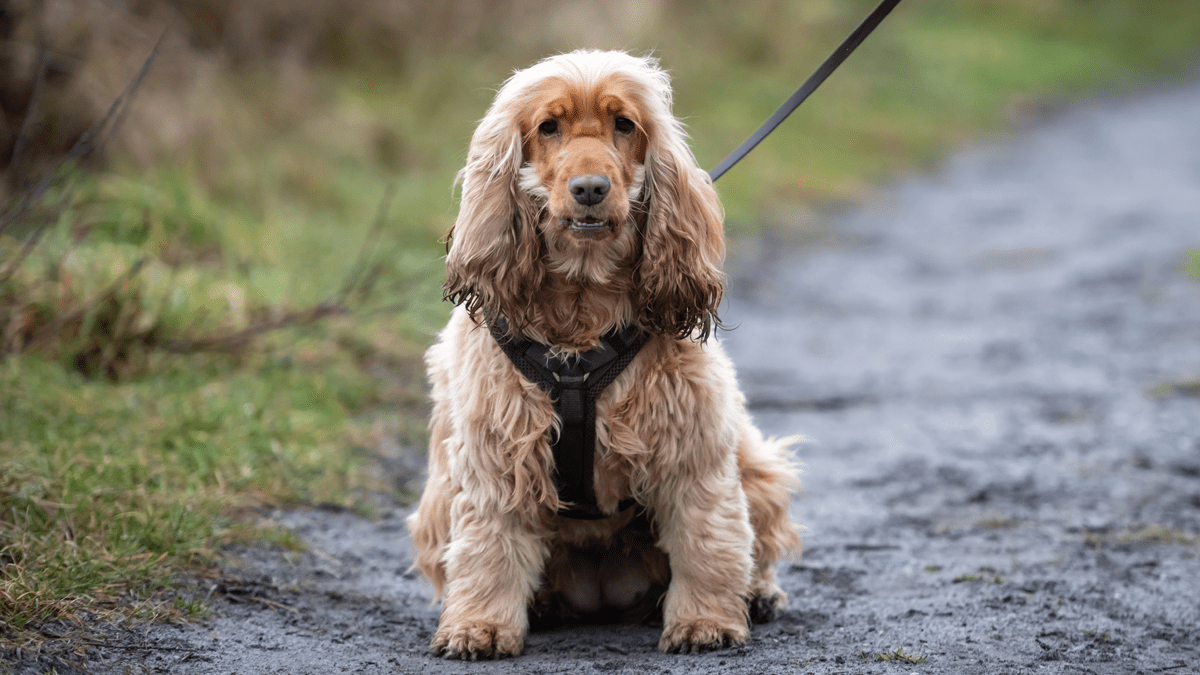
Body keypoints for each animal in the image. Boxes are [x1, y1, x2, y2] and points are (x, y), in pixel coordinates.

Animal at [408, 48, 801, 658]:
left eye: (624, 124)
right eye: (549, 127)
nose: (590, 188)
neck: (581, 301)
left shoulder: (693, 447)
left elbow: (707, 540)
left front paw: (704, 621)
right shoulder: (498, 453)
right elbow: (488, 550)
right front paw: (479, 627)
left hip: (758, 466)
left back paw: (758, 596)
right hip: (435, 500)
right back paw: (542, 606)